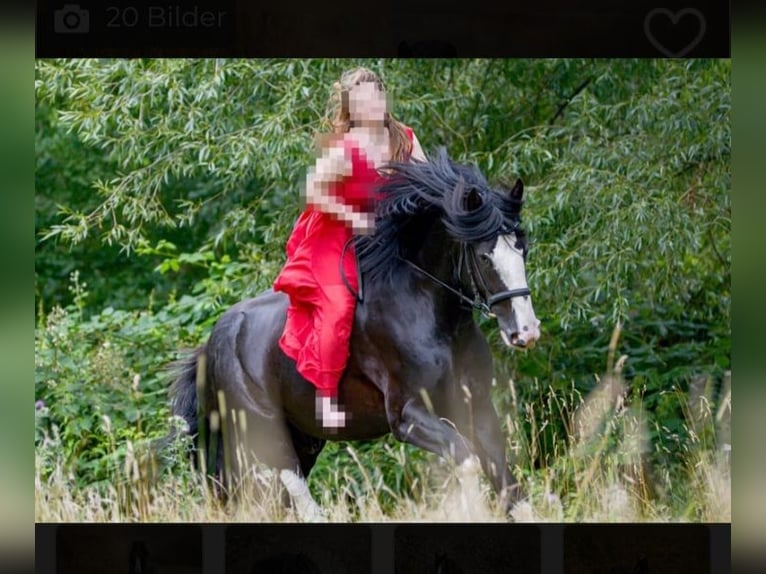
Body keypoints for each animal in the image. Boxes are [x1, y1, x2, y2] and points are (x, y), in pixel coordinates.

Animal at [168, 148, 540, 520]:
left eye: (522, 248)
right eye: (485, 256)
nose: (525, 332)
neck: (436, 320)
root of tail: (213, 341)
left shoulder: (478, 407)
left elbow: (507, 482)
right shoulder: (409, 415)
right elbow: (467, 463)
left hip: (302, 435)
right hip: (261, 430)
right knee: (289, 489)